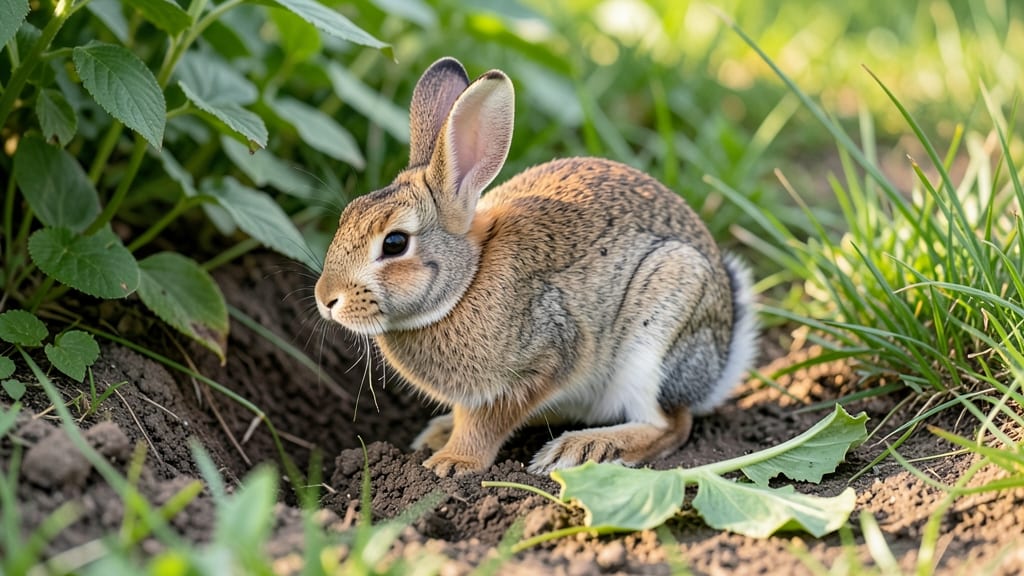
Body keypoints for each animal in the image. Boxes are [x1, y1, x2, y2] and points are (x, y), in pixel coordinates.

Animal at [315, 56, 758, 476]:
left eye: (395, 243)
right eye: (348, 216)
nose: (326, 299)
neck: (468, 280)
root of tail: (719, 362)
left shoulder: (542, 360)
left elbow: (488, 423)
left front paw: (452, 463)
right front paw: (444, 442)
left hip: (657, 334)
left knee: (671, 425)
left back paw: (582, 449)